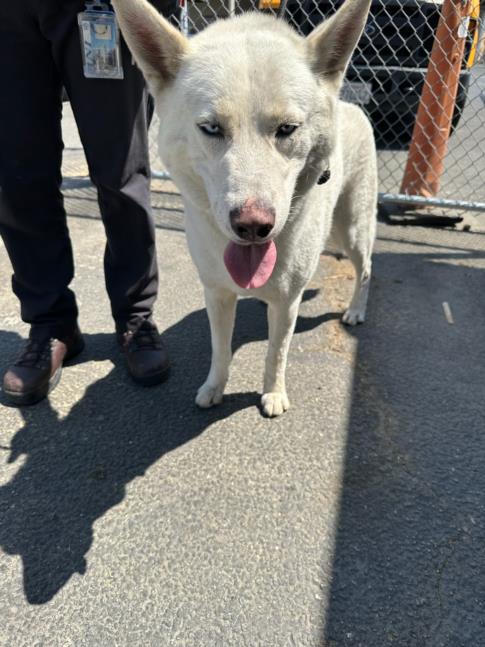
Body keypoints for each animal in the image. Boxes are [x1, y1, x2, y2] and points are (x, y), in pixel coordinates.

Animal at [111, 0, 376, 418]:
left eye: (287, 128)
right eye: (211, 128)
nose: (253, 225)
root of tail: (349, 106)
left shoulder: (286, 302)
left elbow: (277, 352)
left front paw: (273, 394)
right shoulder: (217, 294)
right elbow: (220, 349)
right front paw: (214, 388)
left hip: (349, 228)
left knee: (366, 268)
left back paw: (355, 311)